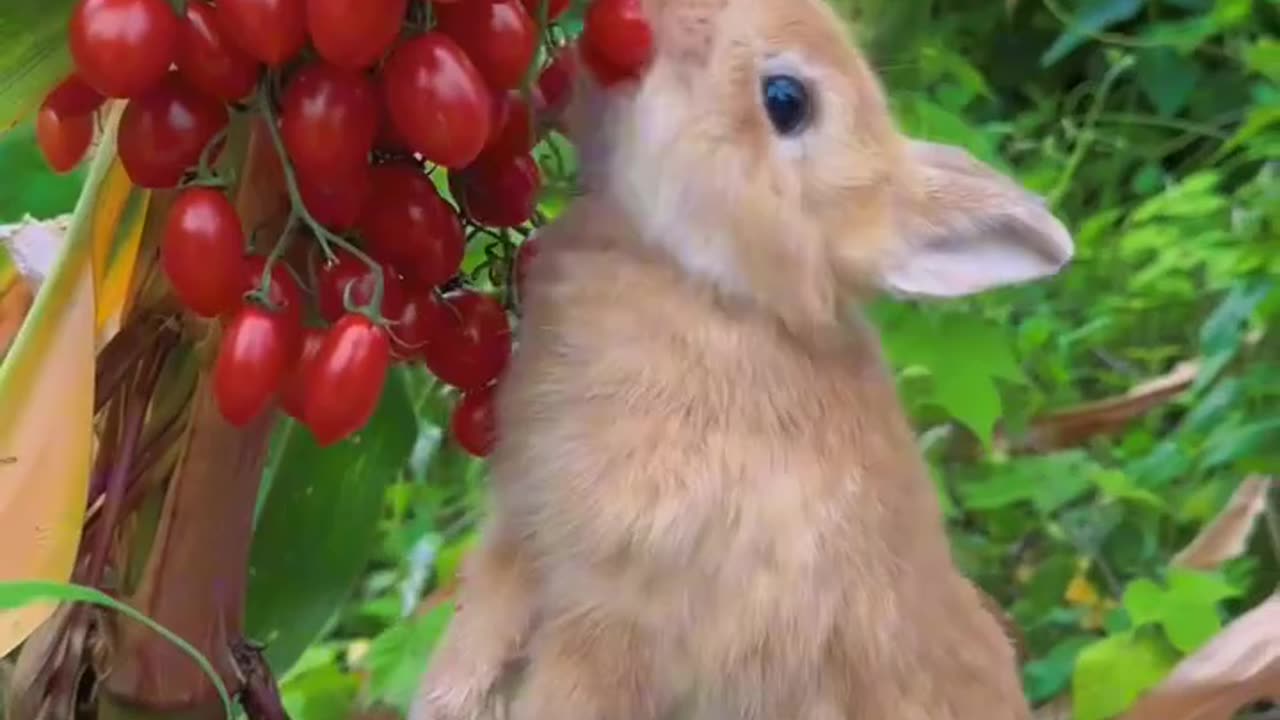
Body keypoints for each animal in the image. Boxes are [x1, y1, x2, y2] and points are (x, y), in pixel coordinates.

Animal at [409, 1, 1070, 717]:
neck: (711, 286)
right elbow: (478, 629)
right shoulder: (521, 534)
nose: (677, 13)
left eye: (786, 101)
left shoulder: (617, 621)